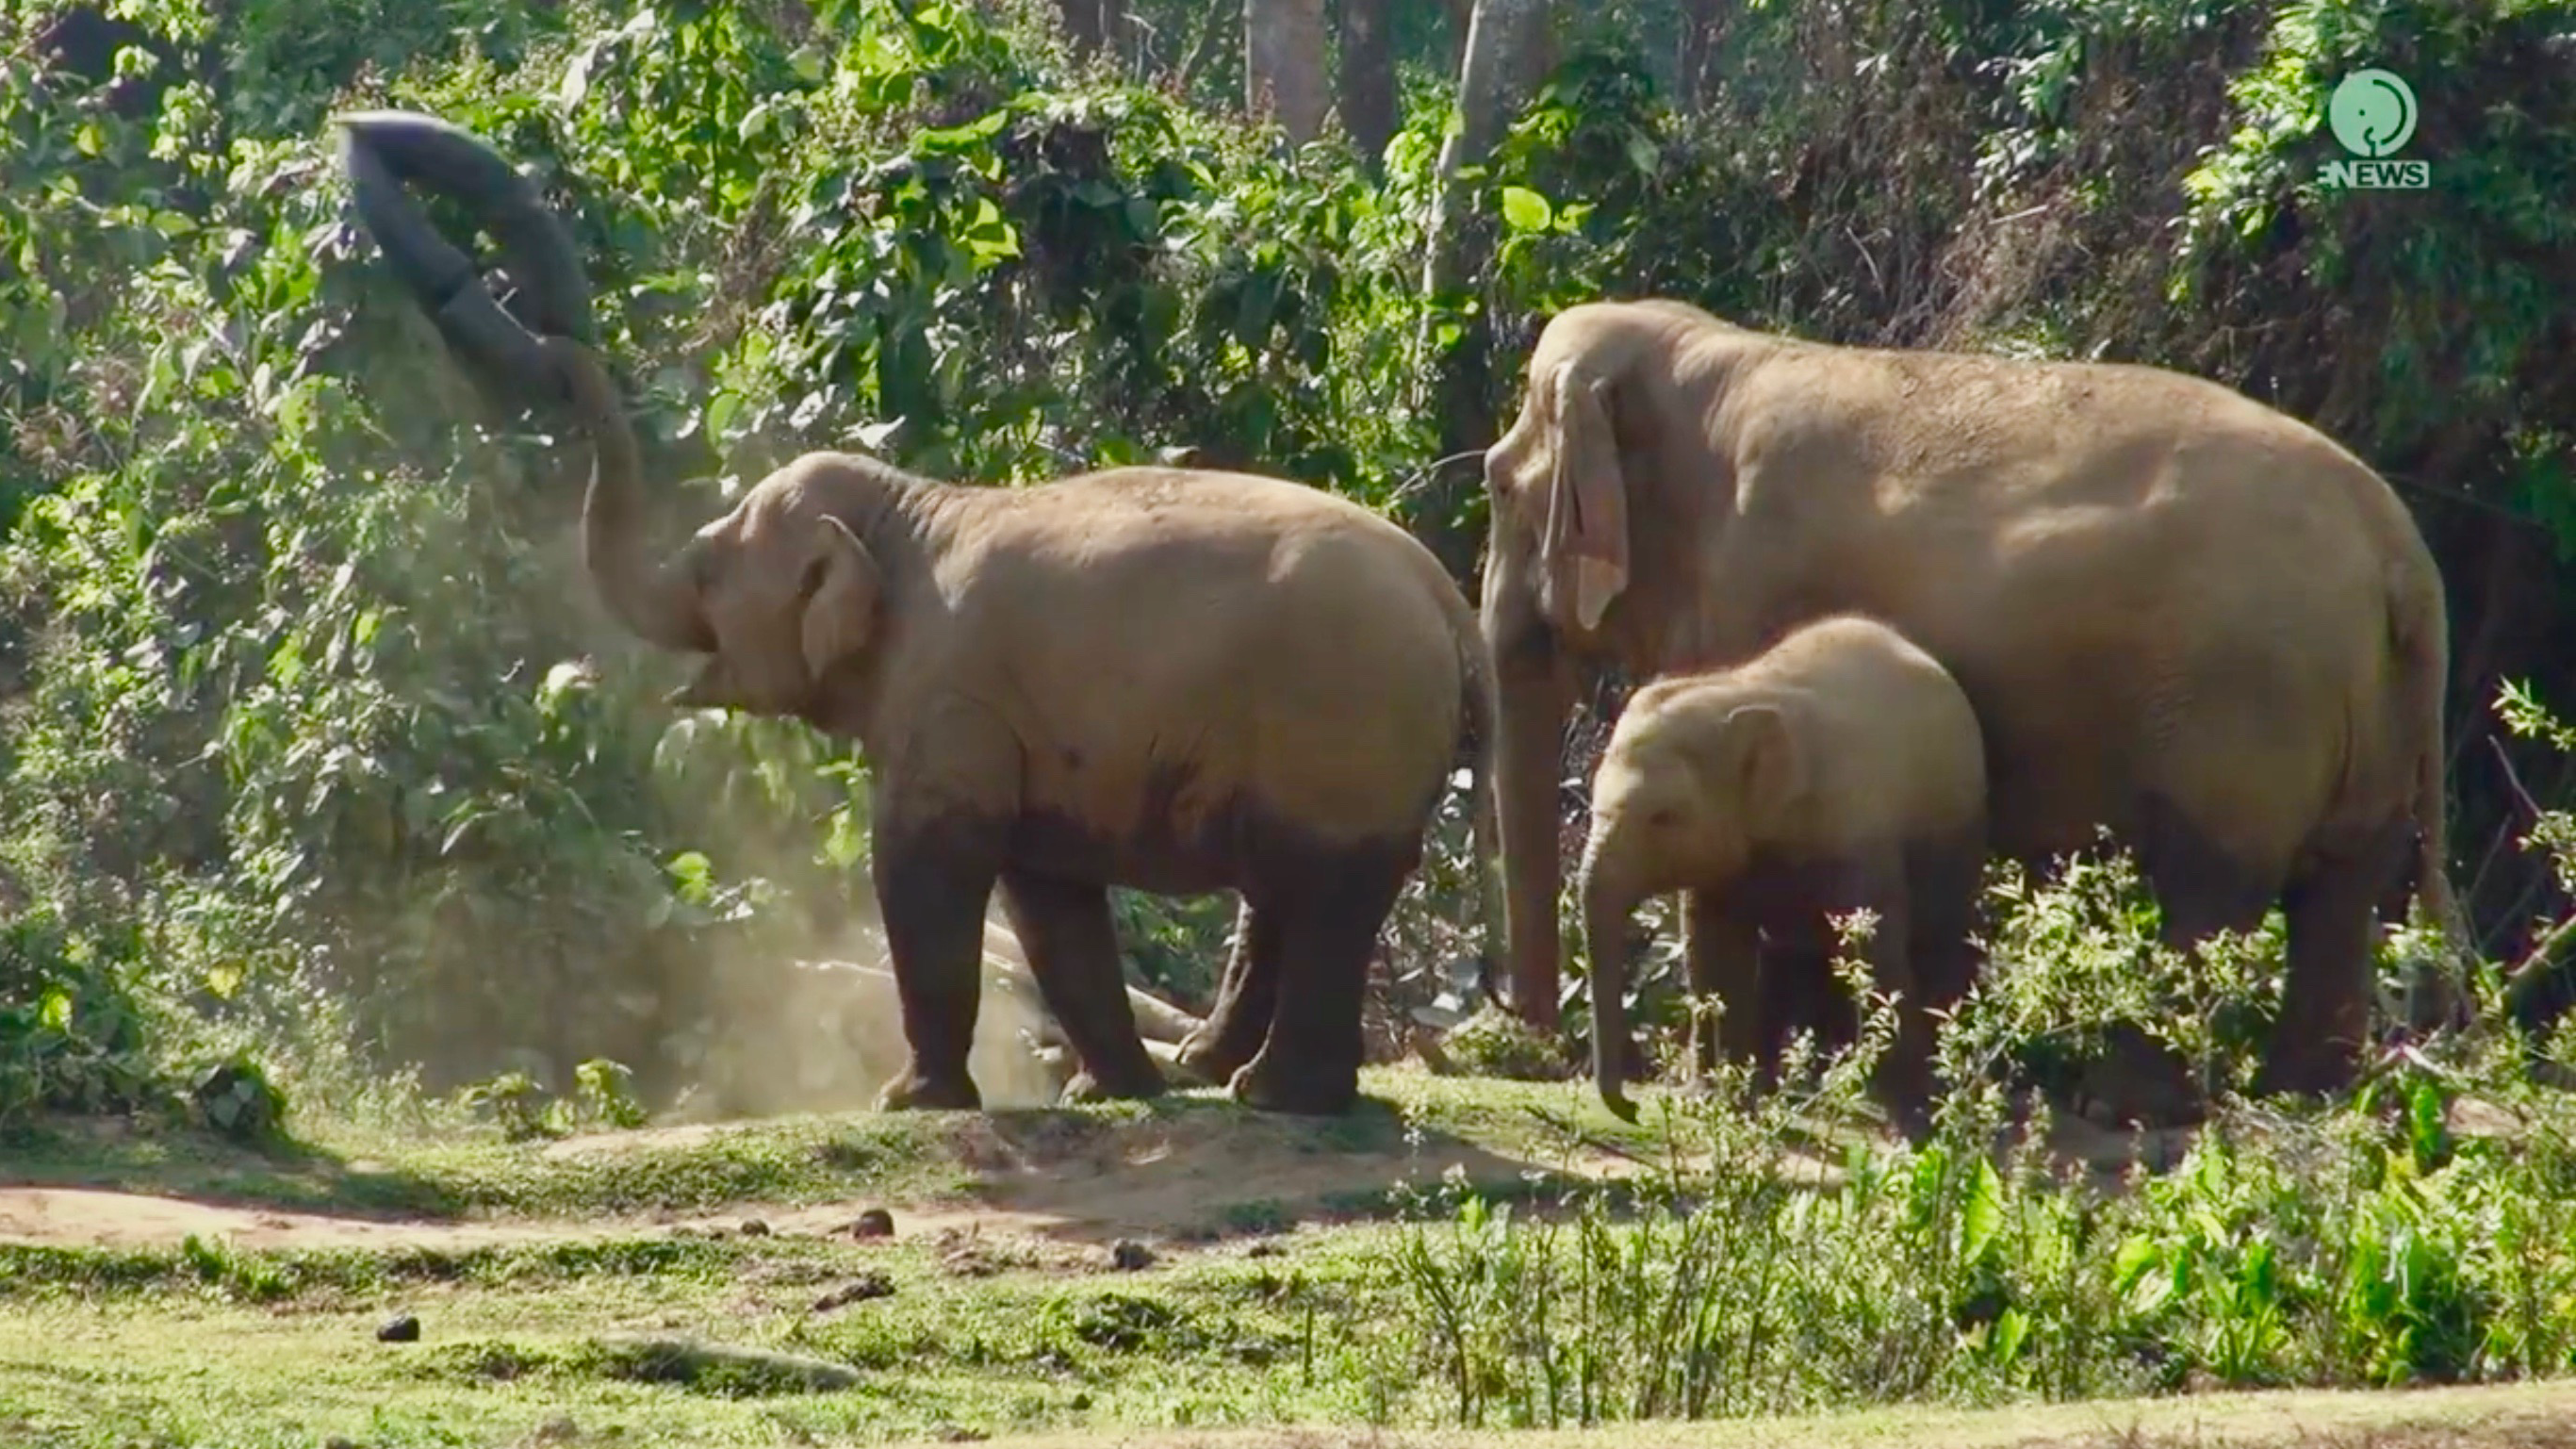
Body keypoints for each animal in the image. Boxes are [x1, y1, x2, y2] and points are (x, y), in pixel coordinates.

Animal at [1578, 614, 1988, 1133]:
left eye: (1664, 817)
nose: (1631, 1108)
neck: (1737, 690)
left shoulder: (1853, 832)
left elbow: (1872, 952)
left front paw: (1914, 1125)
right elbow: (1713, 948)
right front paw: (1714, 1100)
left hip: (1957, 830)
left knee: (1936, 937)